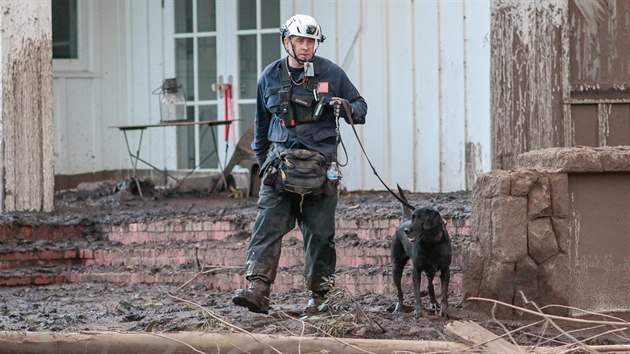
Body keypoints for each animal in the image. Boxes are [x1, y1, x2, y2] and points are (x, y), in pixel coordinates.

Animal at [392, 187, 452, 316]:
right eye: (413, 217)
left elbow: (444, 293)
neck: (432, 243)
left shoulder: (445, 269)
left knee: (430, 284)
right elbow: (417, 292)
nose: (406, 231)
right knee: (399, 290)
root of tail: (404, 221)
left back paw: (433, 302)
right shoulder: (416, 269)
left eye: (420, 218)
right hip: (396, 266)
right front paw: (417, 311)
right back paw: (399, 308)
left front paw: (444, 311)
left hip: (431, 269)